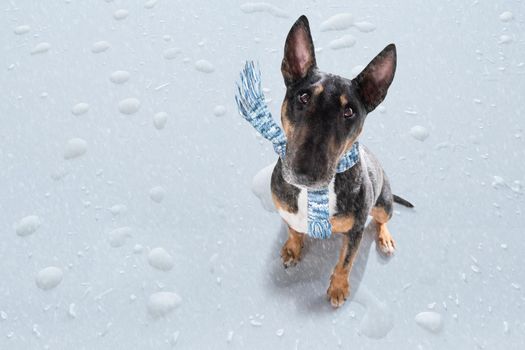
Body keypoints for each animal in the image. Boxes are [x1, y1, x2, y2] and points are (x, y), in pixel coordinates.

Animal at [270, 15, 414, 306]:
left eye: (349, 112)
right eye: (303, 97)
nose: (305, 173)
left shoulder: (356, 230)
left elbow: (345, 262)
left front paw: (338, 288)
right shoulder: (285, 210)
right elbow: (293, 230)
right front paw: (292, 249)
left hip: (383, 203)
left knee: (382, 219)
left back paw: (385, 239)